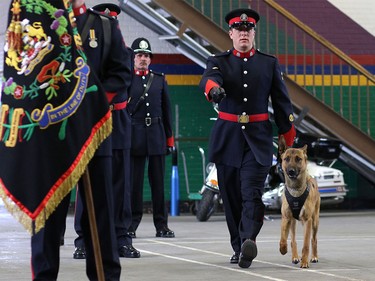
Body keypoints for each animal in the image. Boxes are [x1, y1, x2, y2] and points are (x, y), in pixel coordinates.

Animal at [280, 136, 320, 266]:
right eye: (286, 159)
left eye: (298, 159)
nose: (291, 171)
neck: (295, 189)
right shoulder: (286, 218)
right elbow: (283, 238)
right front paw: (283, 249)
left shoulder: (307, 220)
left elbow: (306, 244)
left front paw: (305, 262)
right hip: (293, 223)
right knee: (293, 240)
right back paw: (295, 257)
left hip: (315, 222)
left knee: (313, 239)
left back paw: (313, 257)